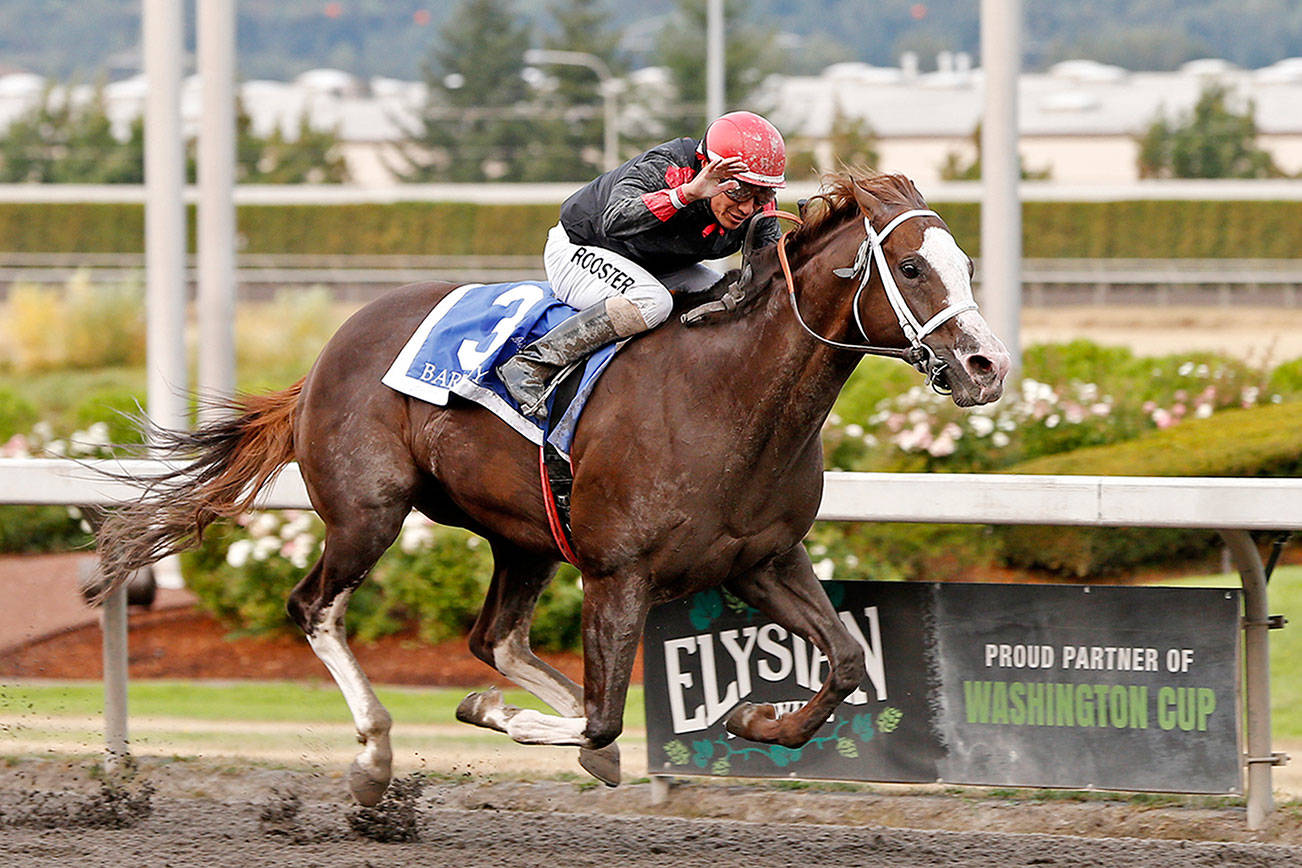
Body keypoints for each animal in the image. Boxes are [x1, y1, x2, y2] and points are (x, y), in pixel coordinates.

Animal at [96, 169, 1010, 806]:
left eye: (967, 263)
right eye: (911, 266)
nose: (987, 365)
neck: (727, 393)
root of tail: (327, 353)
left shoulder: (763, 559)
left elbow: (848, 658)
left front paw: (754, 719)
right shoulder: (618, 573)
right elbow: (604, 710)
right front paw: (497, 716)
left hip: (523, 535)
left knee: (495, 638)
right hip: (368, 513)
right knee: (316, 606)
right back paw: (375, 756)